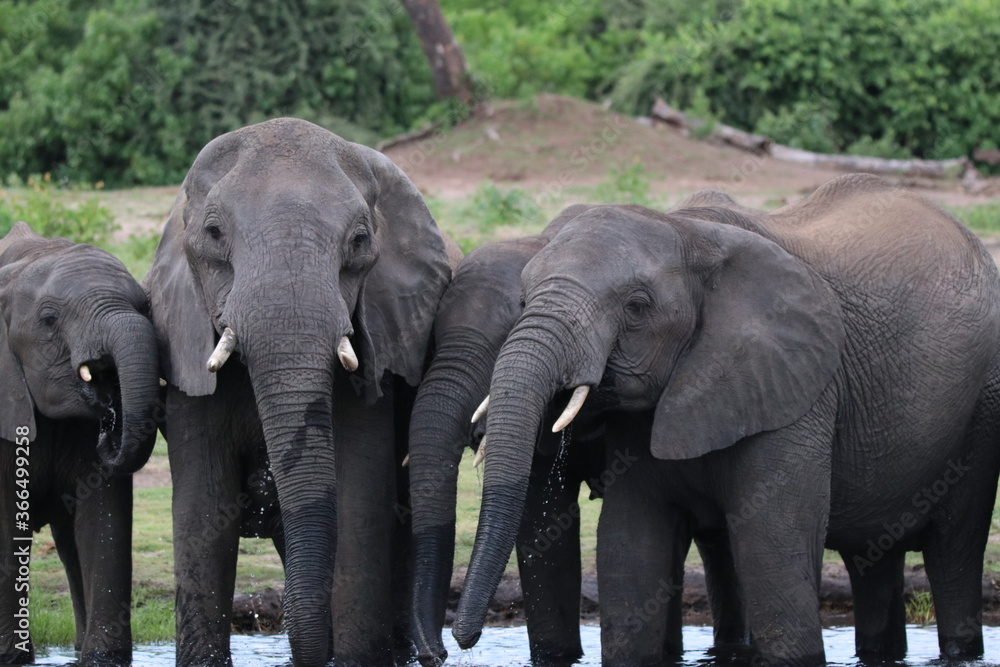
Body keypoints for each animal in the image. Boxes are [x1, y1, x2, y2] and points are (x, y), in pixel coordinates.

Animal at [0, 222, 160, 665]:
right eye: (49, 319)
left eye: (145, 307)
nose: (110, 432)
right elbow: (5, 524)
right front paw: (13, 658)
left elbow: (103, 518)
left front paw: (103, 659)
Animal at [452, 174, 1000, 666]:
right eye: (523, 301)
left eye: (636, 307)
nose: (464, 639)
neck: (689, 232)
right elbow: (629, 545)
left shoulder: (797, 387)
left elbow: (770, 545)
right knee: (875, 558)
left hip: (982, 405)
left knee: (954, 548)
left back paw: (960, 649)